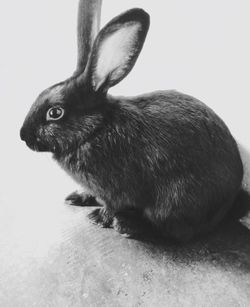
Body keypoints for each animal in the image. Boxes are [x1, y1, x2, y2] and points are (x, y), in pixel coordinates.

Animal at [20, 0, 244, 242]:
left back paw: (128, 225)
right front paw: (78, 197)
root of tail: (229, 201)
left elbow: (112, 205)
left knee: (172, 230)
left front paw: (99, 217)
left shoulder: (115, 190)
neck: (94, 129)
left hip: (177, 199)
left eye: (55, 112)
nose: (23, 136)